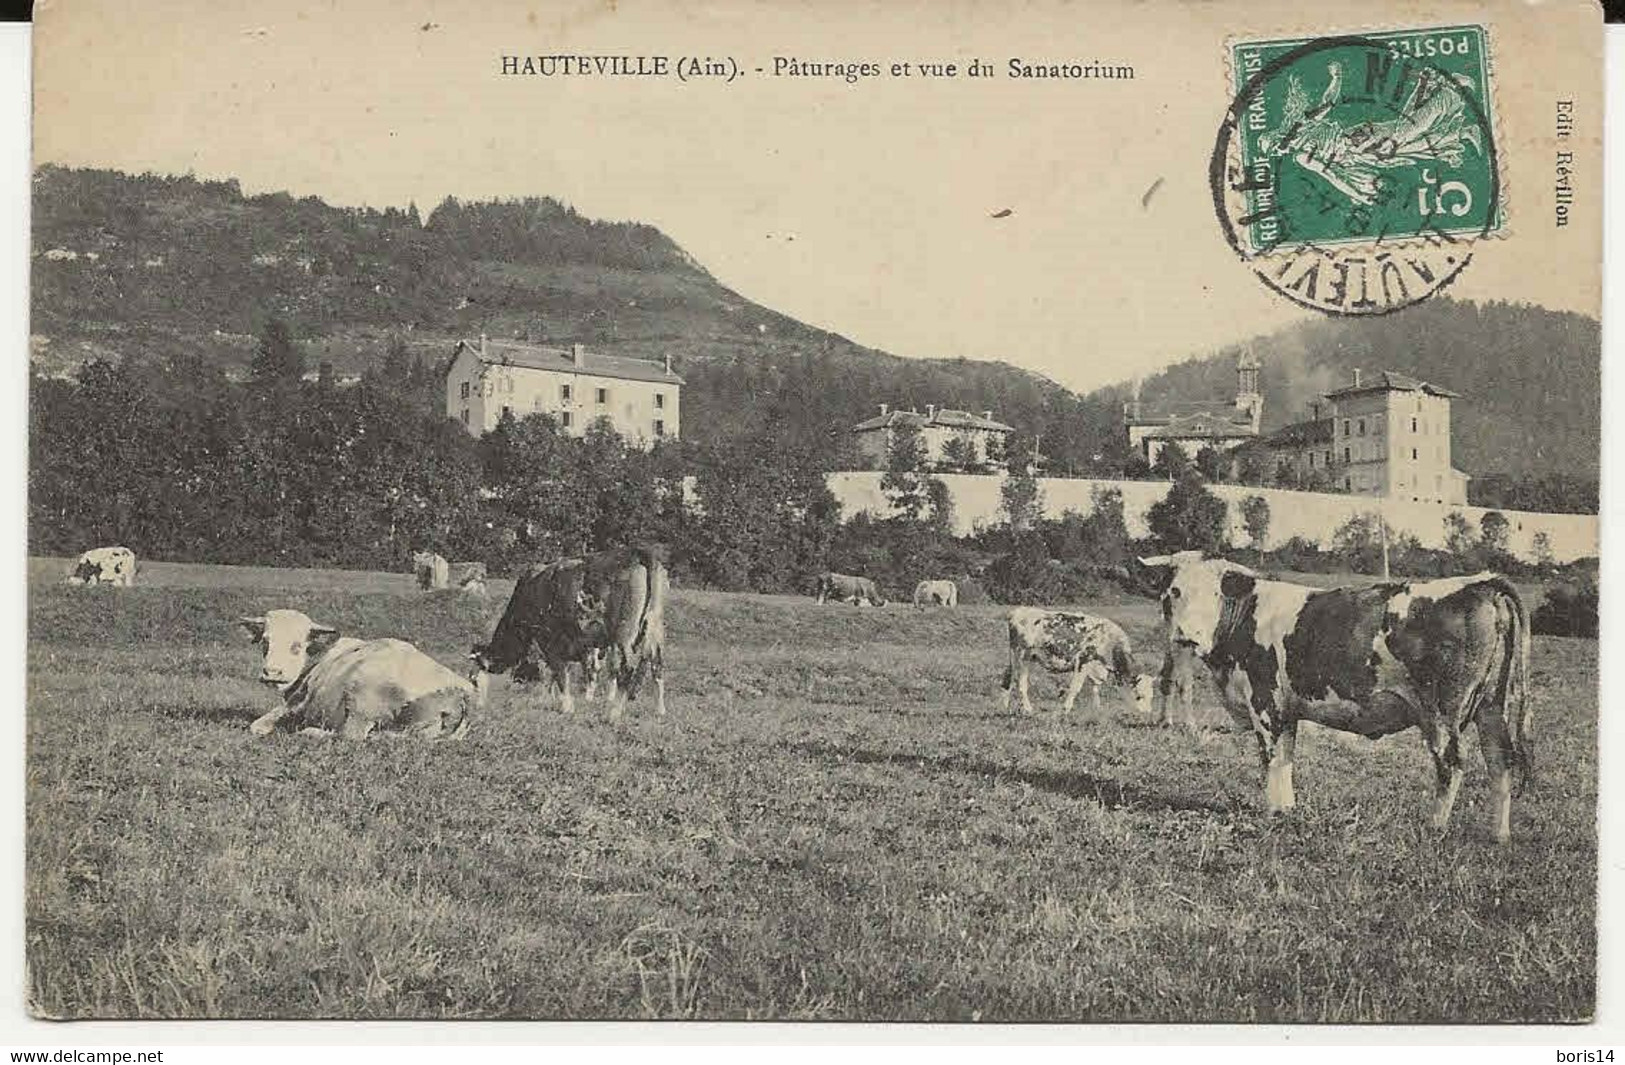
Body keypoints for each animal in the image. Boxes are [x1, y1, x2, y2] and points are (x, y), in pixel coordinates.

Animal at [237, 608, 474, 741]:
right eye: (265, 642)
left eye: (297, 646)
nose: (272, 673)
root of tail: (459, 693)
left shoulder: (299, 703)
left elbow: (257, 725)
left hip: (362, 706)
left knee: (350, 736)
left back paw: (311, 732)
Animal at [474, 549, 669, 715]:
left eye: (476, 681)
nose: (480, 705)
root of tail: (637, 553)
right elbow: (564, 672)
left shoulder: (549, 639)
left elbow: (558, 673)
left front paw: (566, 706)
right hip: (655, 628)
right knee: (656, 664)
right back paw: (659, 710)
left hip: (623, 633)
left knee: (626, 668)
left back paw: (614, 713)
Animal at [994, 608, 1163, 715]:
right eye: (1139, 696)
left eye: (1152, 696)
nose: (1147, 713)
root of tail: (1018, 611)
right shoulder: (1083, 661)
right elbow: (1075, 688)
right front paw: (1066, 709)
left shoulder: (1096, 668)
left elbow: (1095, 688)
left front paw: (1096, 709)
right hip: (1023, 657)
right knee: (1021, 683)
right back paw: (1028, 709)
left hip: (1015, 657)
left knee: (1007, 679)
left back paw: (1004, 707)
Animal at [1137, 552, 1527, 845]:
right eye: (1174, 591)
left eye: (1216, 595)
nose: (1187, 636)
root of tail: (1480, 583)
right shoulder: (1286, 709)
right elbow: (1285, 759)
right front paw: (1286, 811)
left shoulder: (1264, 701)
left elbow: (1269, 760)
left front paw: (1271, 813)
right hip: (1493, 707)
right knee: (1500, 762)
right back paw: (1499, 835)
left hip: (1443, 710)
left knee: (1452, 762)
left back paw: (1435, 826)